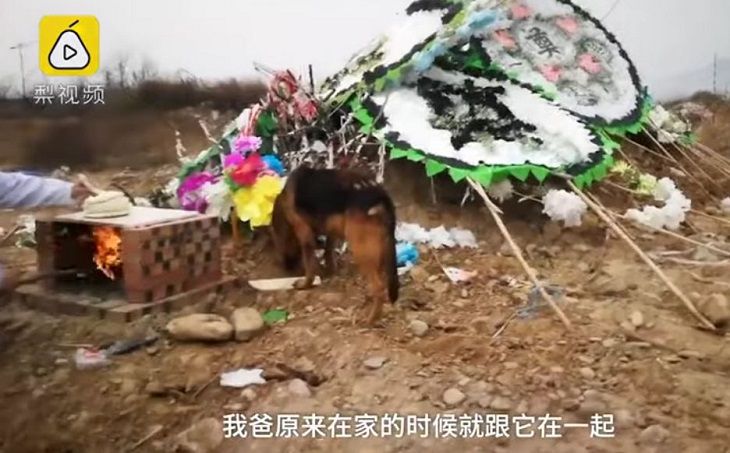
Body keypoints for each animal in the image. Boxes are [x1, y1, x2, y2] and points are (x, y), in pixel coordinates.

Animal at [270, 165, 399, 325]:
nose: (286, 267)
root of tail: (380, 195)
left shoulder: (305, 235)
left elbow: (309, 266)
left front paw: (305, 284)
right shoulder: (332, 230)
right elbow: (328, 252)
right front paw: (330, 270)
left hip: (360, 248)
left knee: (379, 287)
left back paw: (370, 319)